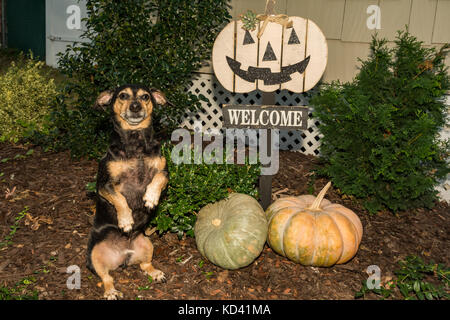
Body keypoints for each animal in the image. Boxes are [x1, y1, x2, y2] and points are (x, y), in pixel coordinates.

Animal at [86, 84, 169, 298]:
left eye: (145, 97)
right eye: (123, 95)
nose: (135, 106)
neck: (135, 140)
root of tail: (123, 256)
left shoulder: (165, 172)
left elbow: (158, 179)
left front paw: (150, 198)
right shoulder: (104, 186)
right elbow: (120, 199)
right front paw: (125, 221)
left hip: (147, 244)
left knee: (145, 265)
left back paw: (156, 273)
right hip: (94, 254)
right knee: (107, 277)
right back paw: (111, 292)